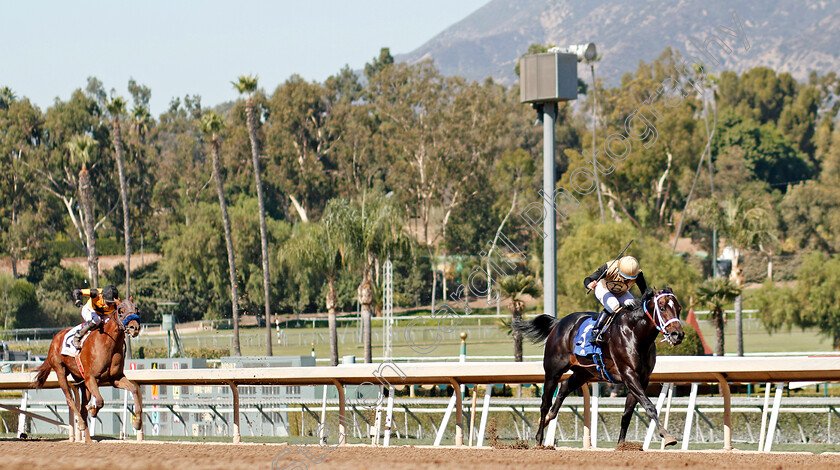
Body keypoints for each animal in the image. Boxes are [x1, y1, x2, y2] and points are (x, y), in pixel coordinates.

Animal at [32, 298, 144, 440]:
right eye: (121, 310)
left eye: (137, 310)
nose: (134, 328)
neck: (108, 343)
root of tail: (55, 339)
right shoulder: (91, 378)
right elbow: (100, 401)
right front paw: (93, 410)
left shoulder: (116, 378)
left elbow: (134, 389)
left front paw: (137, 422)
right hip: (60, 371)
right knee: (70, 400)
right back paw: (80, 423)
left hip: (82, 382)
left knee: (82, 409)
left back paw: (89, 440)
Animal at [516, 286, 684, 448]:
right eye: (662, 307)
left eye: (679, 308)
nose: (678, 334)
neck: (635, 334)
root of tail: (559, 322)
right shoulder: (628, 374)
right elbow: (649, 406)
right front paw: (667, 436)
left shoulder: (642, 379)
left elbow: (627, 414)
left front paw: (621, 445)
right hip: (553, 371)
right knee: (545, 403)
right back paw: (539, 440)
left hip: (583, 372)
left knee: (564, 386)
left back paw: (547, 418)